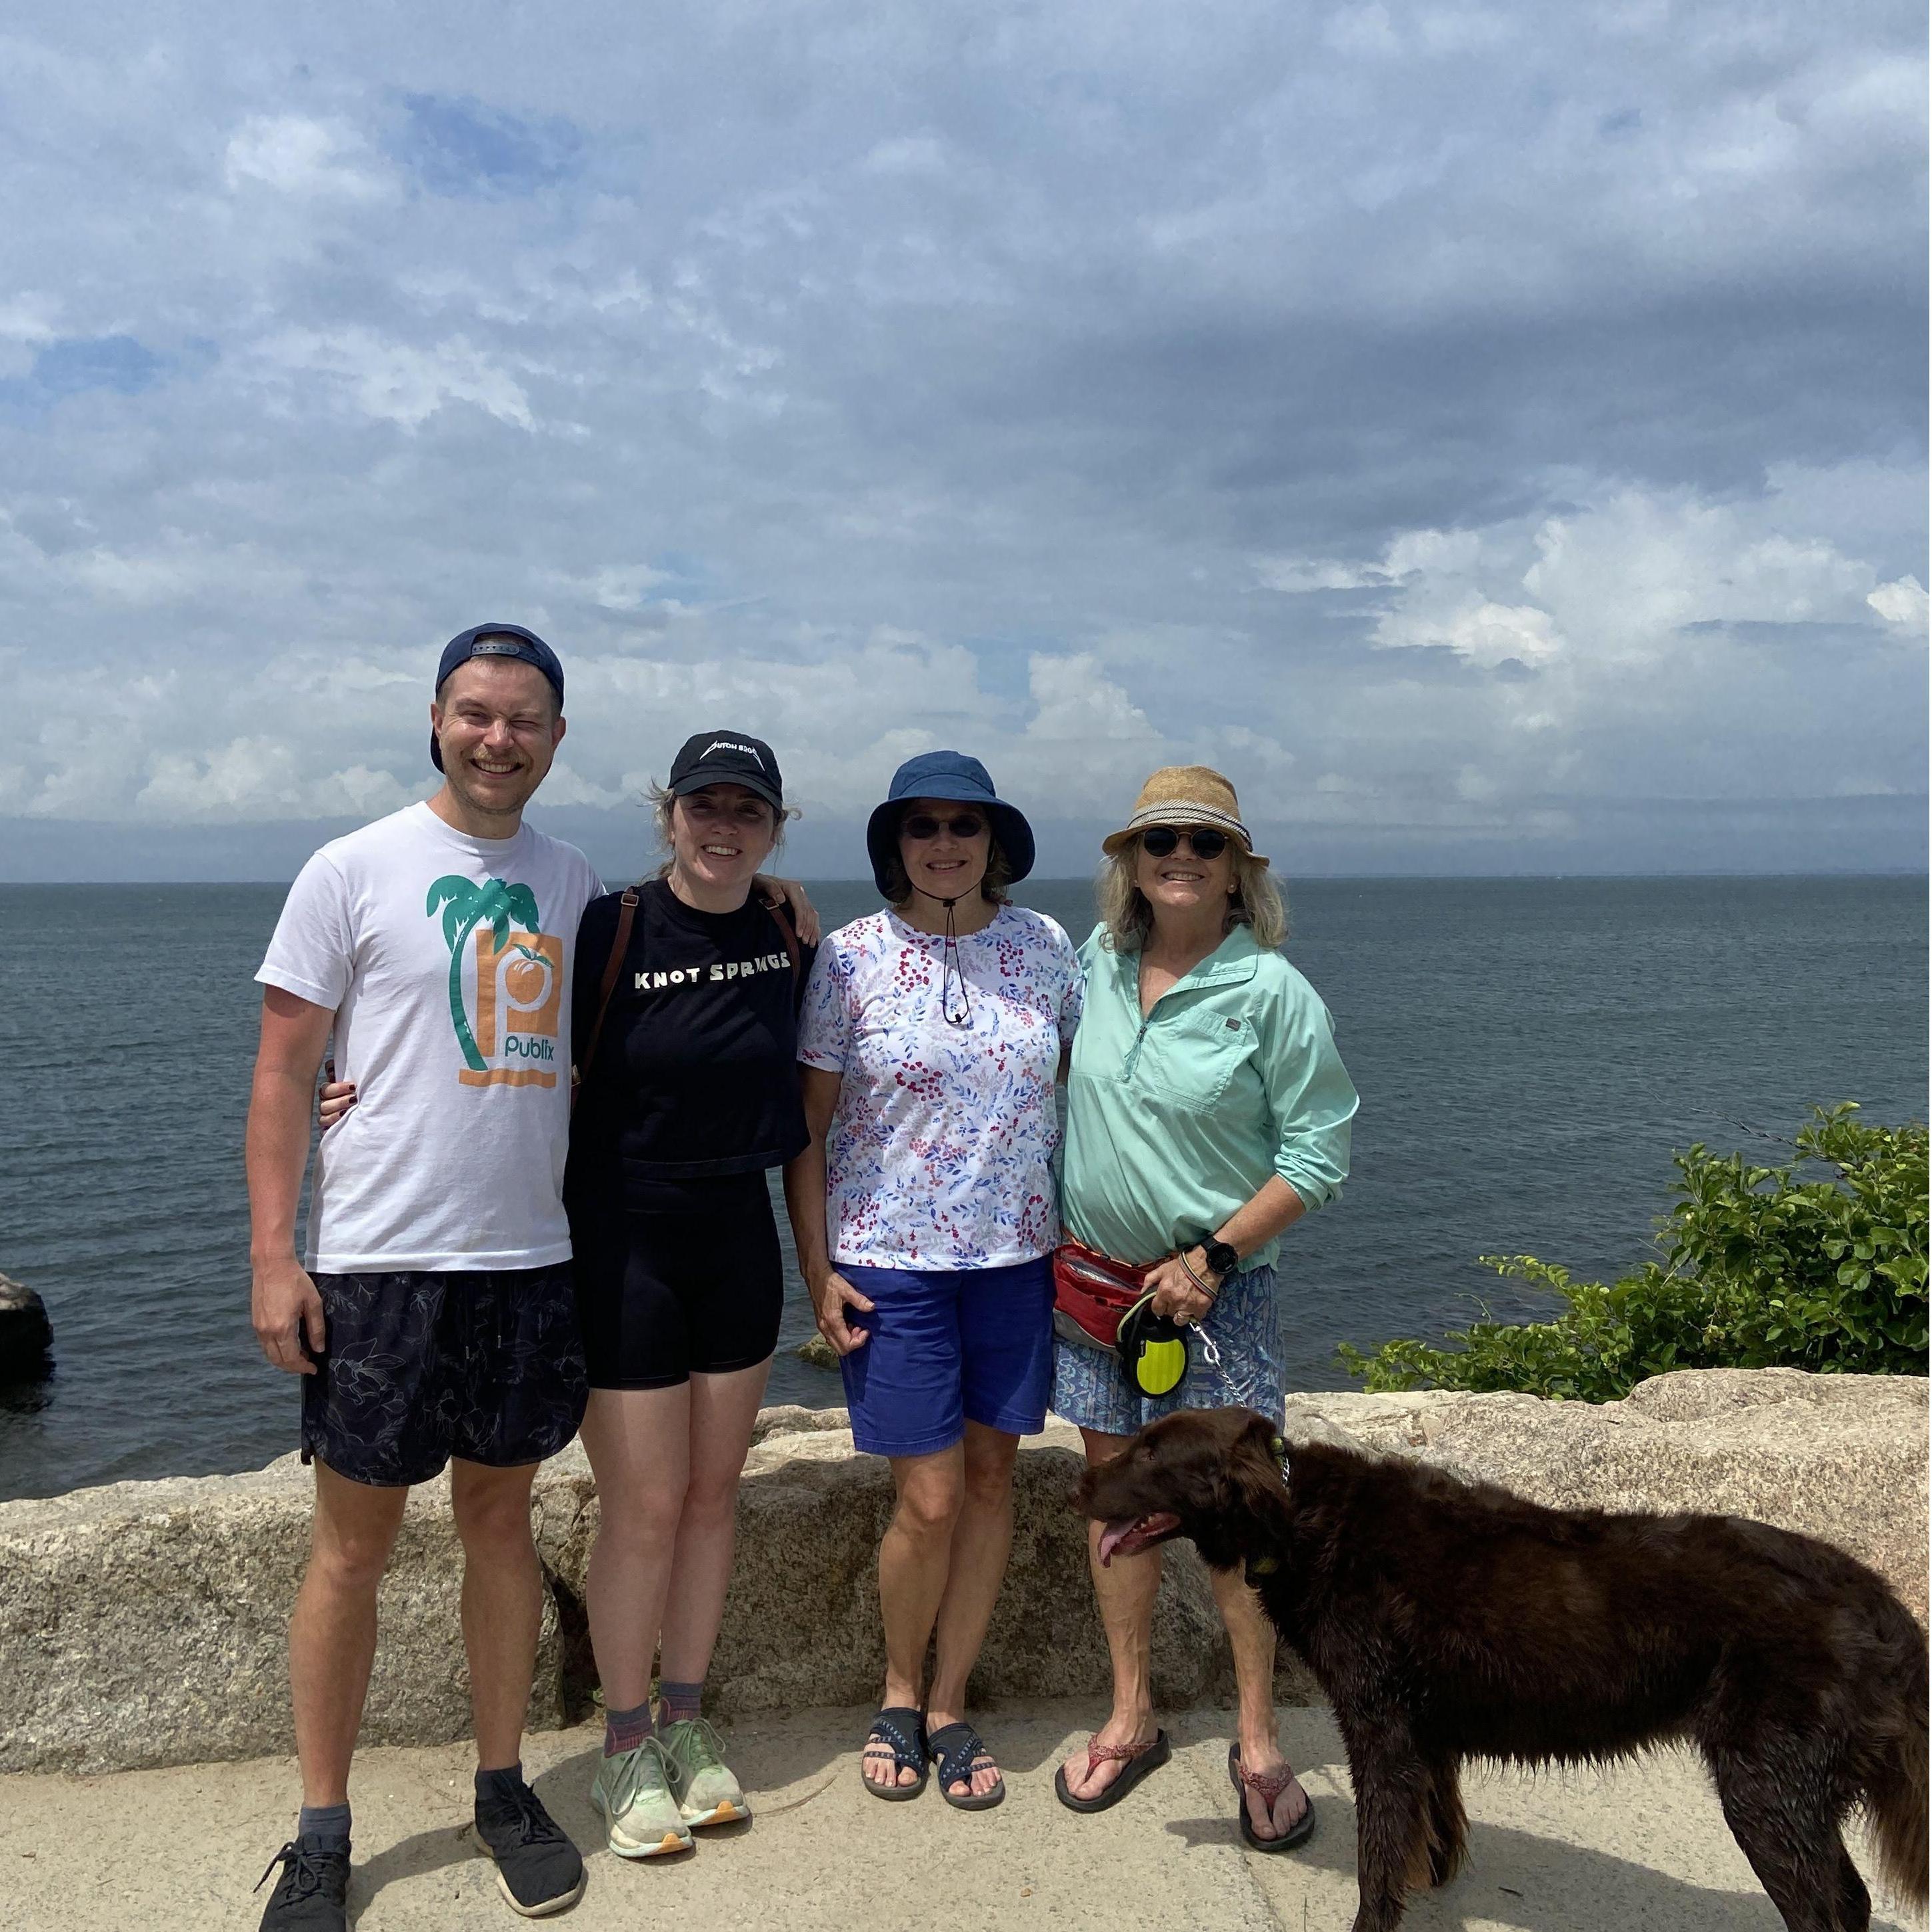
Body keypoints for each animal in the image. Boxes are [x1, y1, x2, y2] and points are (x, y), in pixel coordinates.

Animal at [1081, 1406, 1924, 1932]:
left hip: (1765, 1789)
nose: (1081, 1484)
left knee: (1825, 1909)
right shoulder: (1424, 1733)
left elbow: (1375, 1860)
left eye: (1152, 1453)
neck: (1300, 1518)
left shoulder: (1379, 1725)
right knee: (1850, 1901)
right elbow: (1431, 1830)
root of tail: (1879, 1600)